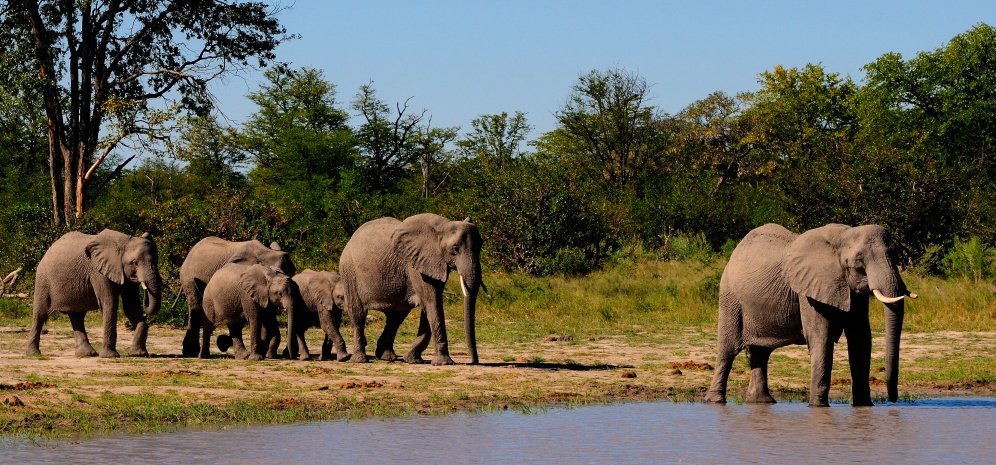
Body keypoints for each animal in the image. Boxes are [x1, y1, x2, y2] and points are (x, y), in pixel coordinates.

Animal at [25, 230, 161, 358]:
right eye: (134, 262)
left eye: (157, 260)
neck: (124, 241)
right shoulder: (98, 272)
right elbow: (110, 304)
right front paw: (110, 356)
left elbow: (131, 307)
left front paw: (139, 354)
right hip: (43, 280)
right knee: (40, 314)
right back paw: (33, 353)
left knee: (77, 316)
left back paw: (86, 354)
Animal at [340, 212, 484, 364]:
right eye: (455, 248)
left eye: (481, 245)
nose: (474, 361)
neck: (442, 227)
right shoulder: (415, 265)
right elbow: (432, 302)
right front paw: (444, 363)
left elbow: (430, 305)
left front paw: (413, 359)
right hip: (349, 273)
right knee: (358, 314)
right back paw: (360, 359)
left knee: (396, 317)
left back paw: (387, 356)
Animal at [704, 224, 916, 406]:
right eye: (858, 261)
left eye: (896, 255)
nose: (893, 400)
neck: (843, 236)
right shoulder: (808, 291)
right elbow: (821, 337)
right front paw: (818, 406)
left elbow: (861, 338)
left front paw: (864, 406)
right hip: (730, 298)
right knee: (727, 350)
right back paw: (715, 401)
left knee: (761, 352)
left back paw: (762, 402)